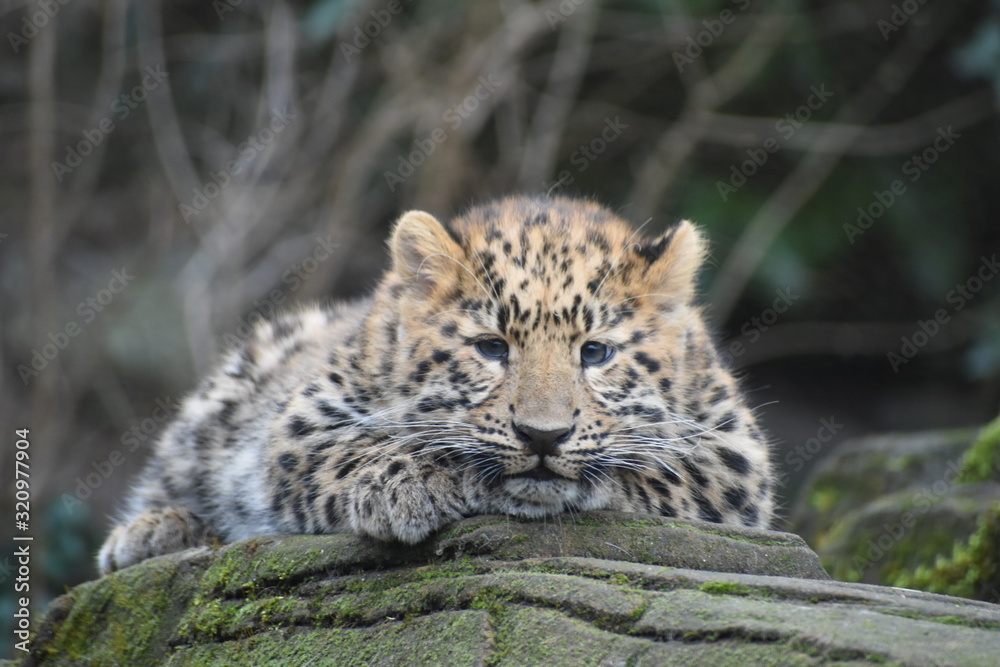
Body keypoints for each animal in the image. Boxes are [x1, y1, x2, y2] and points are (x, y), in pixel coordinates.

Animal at [98, 194, 774, 574]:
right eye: (492, 348)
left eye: (595, 352)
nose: (543, 437)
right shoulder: (300, 425)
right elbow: (355, 448)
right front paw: (404, 485)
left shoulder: (735, 454)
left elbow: (653, 466)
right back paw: (153, 532)